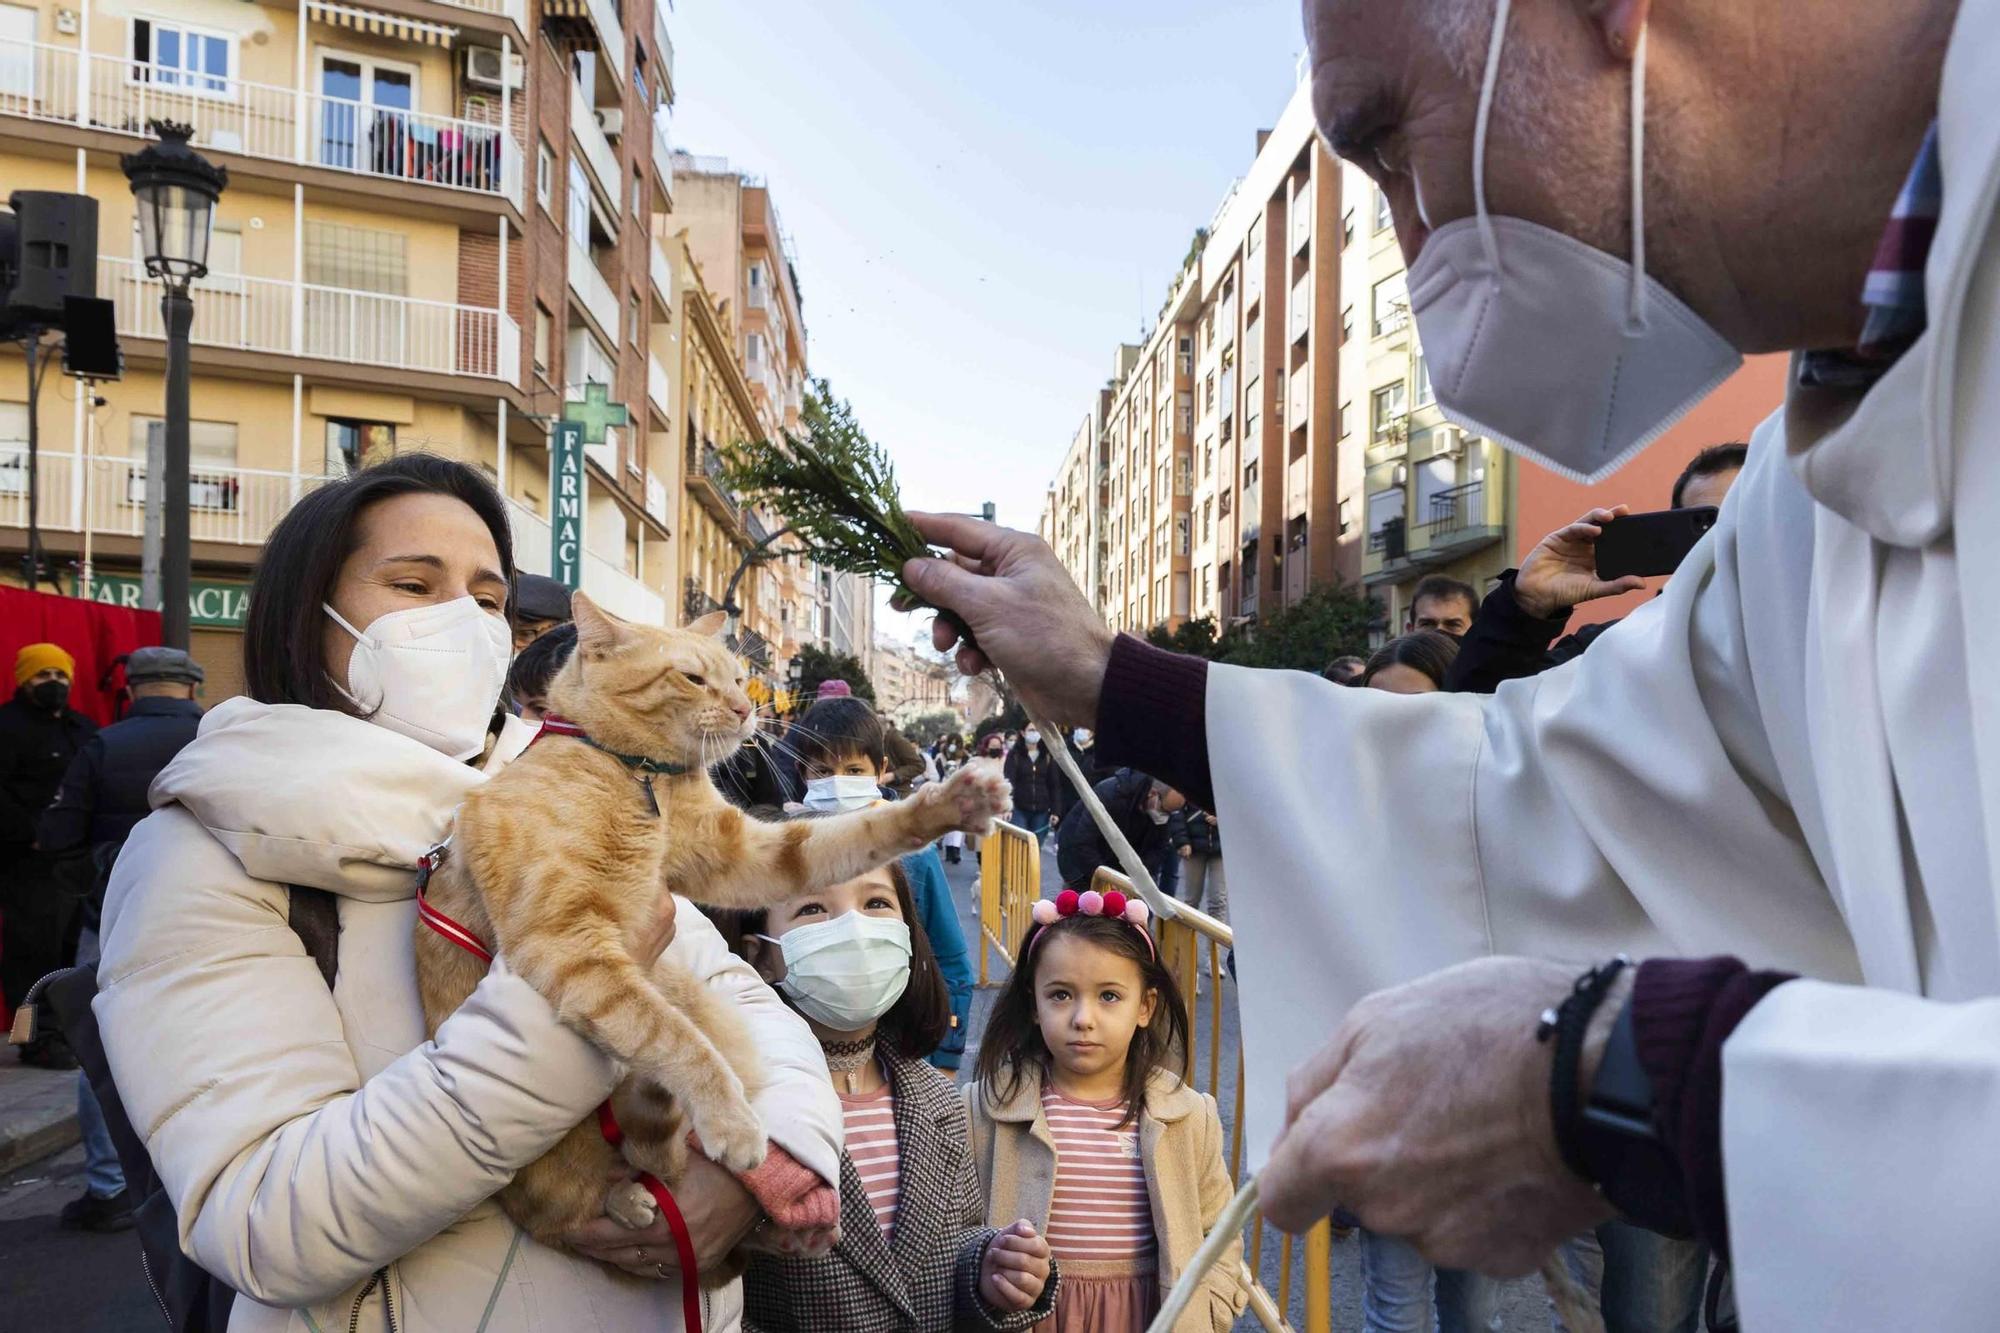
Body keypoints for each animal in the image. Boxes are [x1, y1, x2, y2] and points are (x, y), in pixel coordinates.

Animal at [422, 592, 1016, 1256]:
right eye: (692, 677)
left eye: (736, 678)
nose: (744, 708)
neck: (641, 778)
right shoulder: (565, 945)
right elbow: (669, 1036)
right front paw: (730, 1121)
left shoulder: (747, 855)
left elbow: (846, 836)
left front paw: (948, 806)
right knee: (581, 1202)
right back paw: (632, 1196)